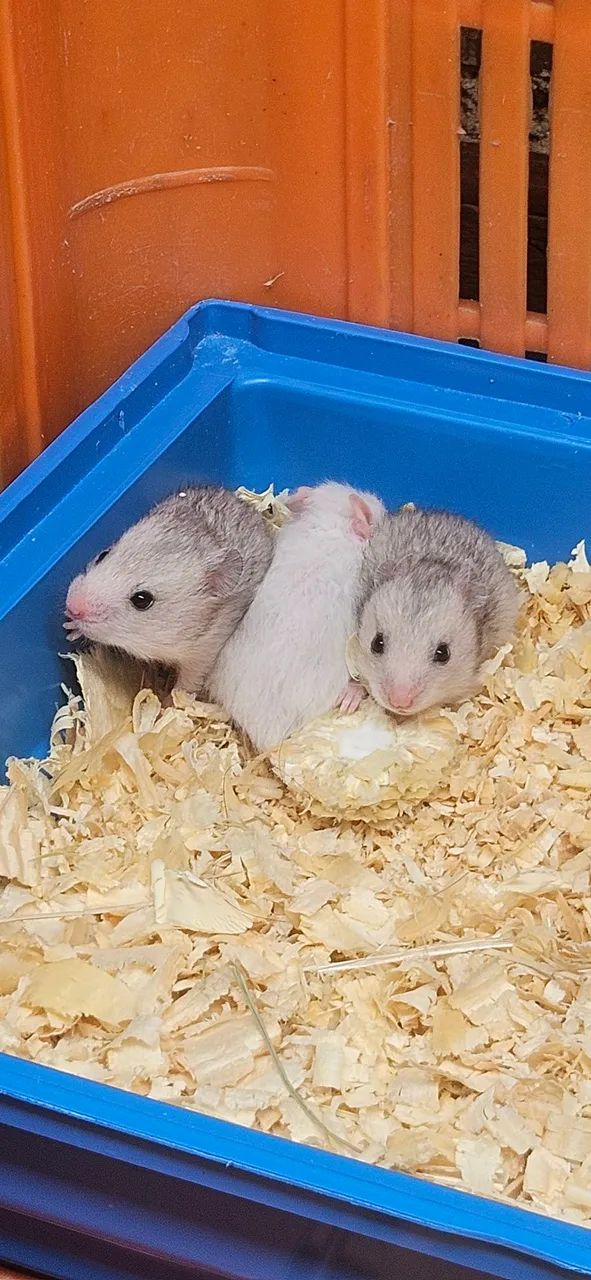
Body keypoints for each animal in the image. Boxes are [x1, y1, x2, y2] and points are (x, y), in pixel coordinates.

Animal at [64, 486, 274, 692]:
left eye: (142, 600)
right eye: (103, 555)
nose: (72, 606)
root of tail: (245, 505)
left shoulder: (204, 653)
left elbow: (186, 685)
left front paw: (169, 697)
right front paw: (69, 628)